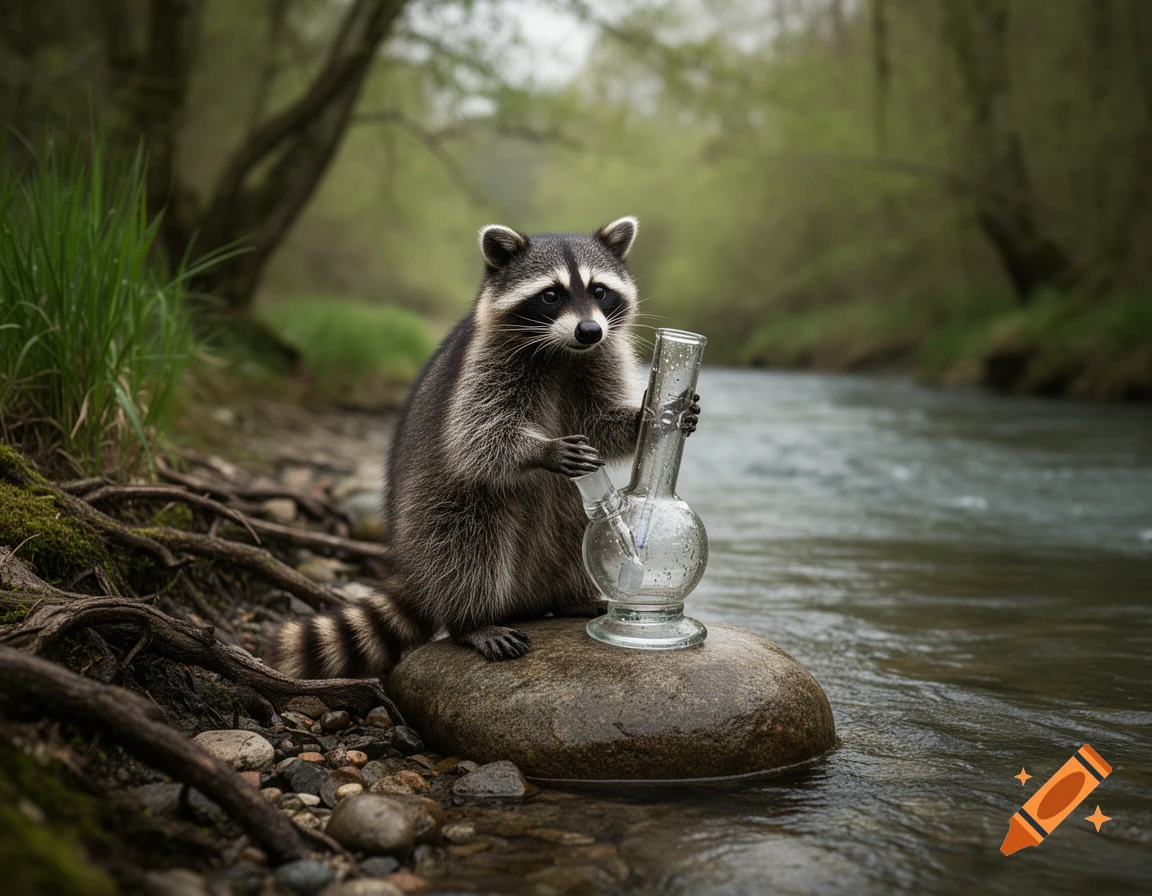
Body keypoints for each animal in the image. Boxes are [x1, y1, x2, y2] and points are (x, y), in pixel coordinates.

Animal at [270, 216, 699, 678]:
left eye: (599, 291)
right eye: (551, 295)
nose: (589, 330)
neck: (562, 350)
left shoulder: (599, 357)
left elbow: (600, 424)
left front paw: (648, 417)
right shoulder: (486, 364)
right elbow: (478, 437)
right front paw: (541, 450)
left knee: (571, 531)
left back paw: (565, 597)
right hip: (436, 504)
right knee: (466, 544)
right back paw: (470, 620)